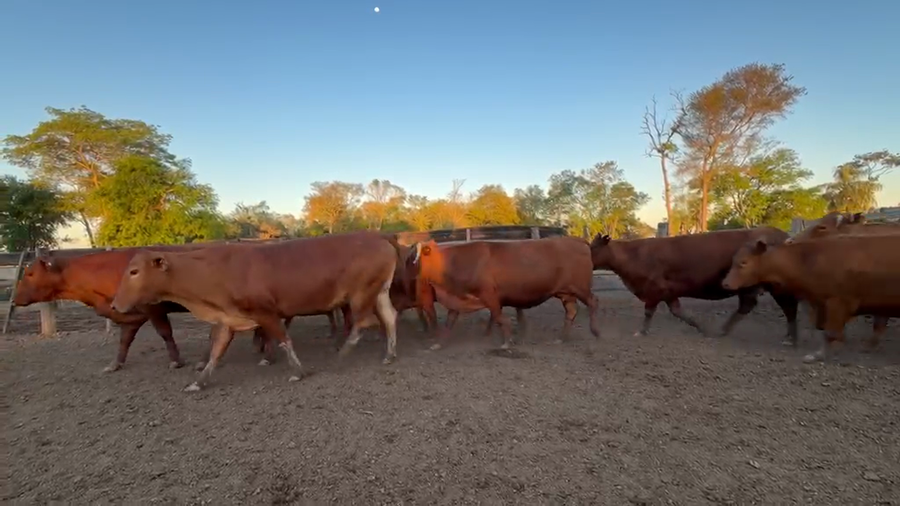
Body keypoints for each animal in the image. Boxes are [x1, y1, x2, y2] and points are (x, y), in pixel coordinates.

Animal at [12, 246, 341, 373]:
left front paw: (176, 361)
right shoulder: (130, 315)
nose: (14, 299)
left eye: (30, 273)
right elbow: (124, 340)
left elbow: (165, 333)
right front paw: (115, 364)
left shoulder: (152, 309)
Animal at [110, 231, 408, 391]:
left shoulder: (265, 312)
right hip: (379, 291)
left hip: (360, 294)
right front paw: (199, 382)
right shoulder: (227, 319)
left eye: (134, 271)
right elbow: (216, 352)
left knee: (363, 322)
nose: (114, 304)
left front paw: (298, 371)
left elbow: (283, 339)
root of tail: (379, 236)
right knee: (389, 317)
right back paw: (389, 354)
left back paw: (344, 353)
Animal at [410, 236, 600, 350]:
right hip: (565, 293)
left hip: (580, 288)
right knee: (572, 311)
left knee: (593, 302)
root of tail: (577, 240)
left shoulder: (490, 296)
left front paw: (506, 342)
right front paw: (438, 343)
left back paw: (595, 331)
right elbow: (449, 323)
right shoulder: (457, 300)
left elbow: (499, 317)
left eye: (417, 256)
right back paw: (562, 338)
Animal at [589, 228, 800, 344]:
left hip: (770, 286)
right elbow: (679, 312)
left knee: (784, 307)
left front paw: (640, 332)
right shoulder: (668, 293)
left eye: (593, 247)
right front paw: (701, 327)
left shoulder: (655, 290)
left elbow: (649, 312)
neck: (634, 255)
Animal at [722, 234, 900, 363]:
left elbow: (831, 333)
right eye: (733, 260)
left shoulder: (837, 302)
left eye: (743, 262)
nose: (725, 283)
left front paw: (817, 355)